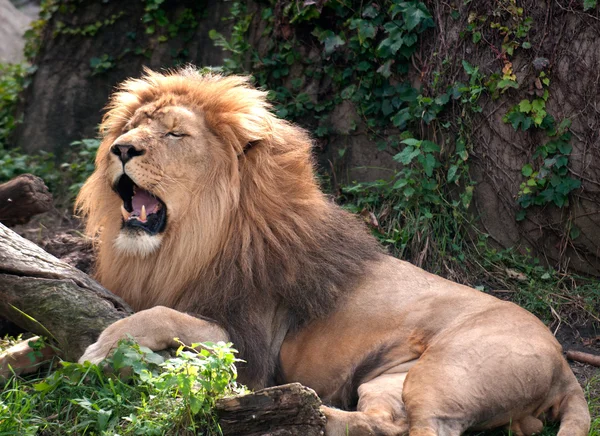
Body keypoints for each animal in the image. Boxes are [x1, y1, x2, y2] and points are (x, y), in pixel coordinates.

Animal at [76, 68, 592, 436]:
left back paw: (281, 413)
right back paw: (311, 415)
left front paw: (99, 350)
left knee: (425, 430)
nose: (121, 149)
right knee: (387, 424)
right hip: (391, 378)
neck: (186, 244)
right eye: (131, 127)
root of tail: (564, 367)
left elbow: (160, 314)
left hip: (445, 371)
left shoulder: (250, 348)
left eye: (174, 135)